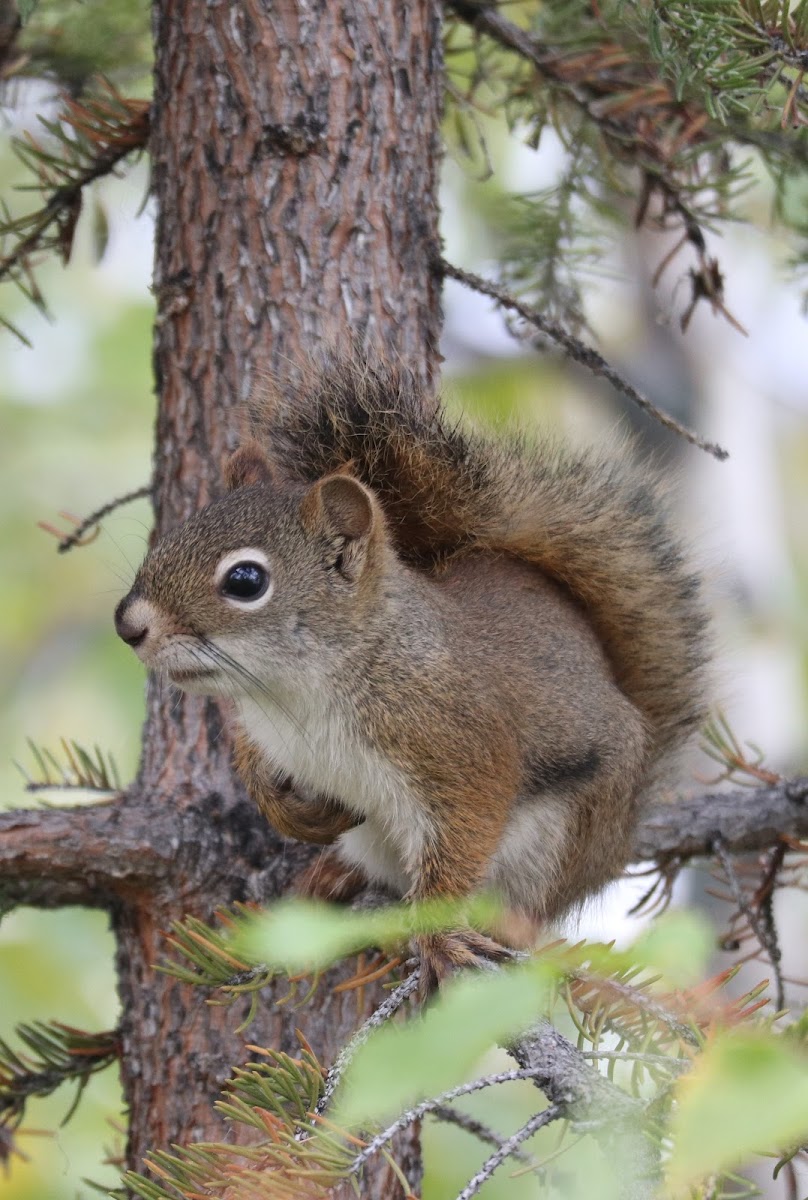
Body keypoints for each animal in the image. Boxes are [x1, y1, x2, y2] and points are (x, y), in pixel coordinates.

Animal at [113, 357, 705, 993]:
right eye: (171, 535)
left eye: (245, 581)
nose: (128, 625)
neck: (297, 693)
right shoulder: (264, 731)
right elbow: (256, 772)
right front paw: (292, 812)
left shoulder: (457, 744)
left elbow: (464, 830)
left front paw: (439, 940)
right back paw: (327, 877)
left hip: (557, 846)